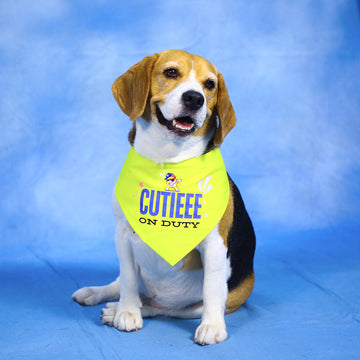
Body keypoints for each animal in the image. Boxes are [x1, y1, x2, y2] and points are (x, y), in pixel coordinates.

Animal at [71, 49, 255, 344]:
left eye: (210, 84)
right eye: (171, 72)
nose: (194, 98)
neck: (168, 159)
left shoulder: (215, 245)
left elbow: (212, 289)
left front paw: (212, 326)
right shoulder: (123, 234)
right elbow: (128, 281)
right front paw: (127, 312)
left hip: (226, 297)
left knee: (165, 310)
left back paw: (119, 310)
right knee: (123, 285)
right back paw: (100, 296)